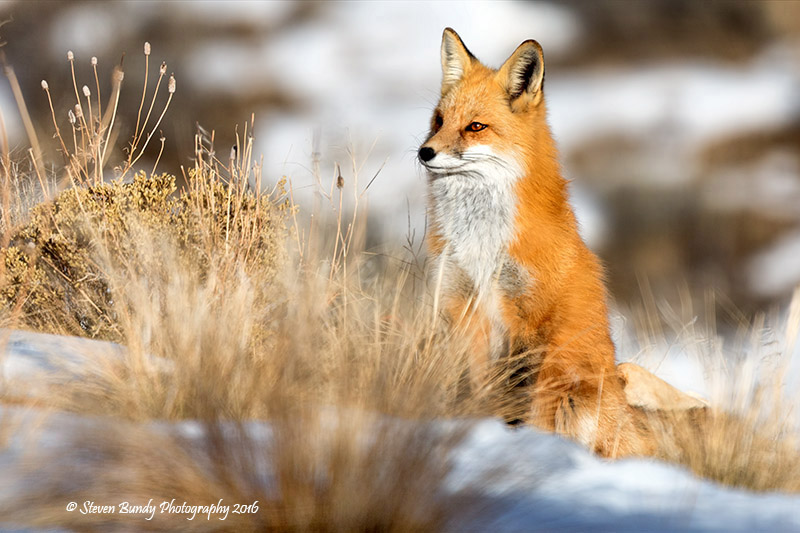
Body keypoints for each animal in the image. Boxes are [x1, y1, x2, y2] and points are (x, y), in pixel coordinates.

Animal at [418, 28, 656, 457]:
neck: (482, 244)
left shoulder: (532, 318)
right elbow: (480, 387)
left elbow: (528, 403)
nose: (424, 152)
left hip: (579, 396)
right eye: (439, 120)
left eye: (475, 127)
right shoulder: (464, 307)